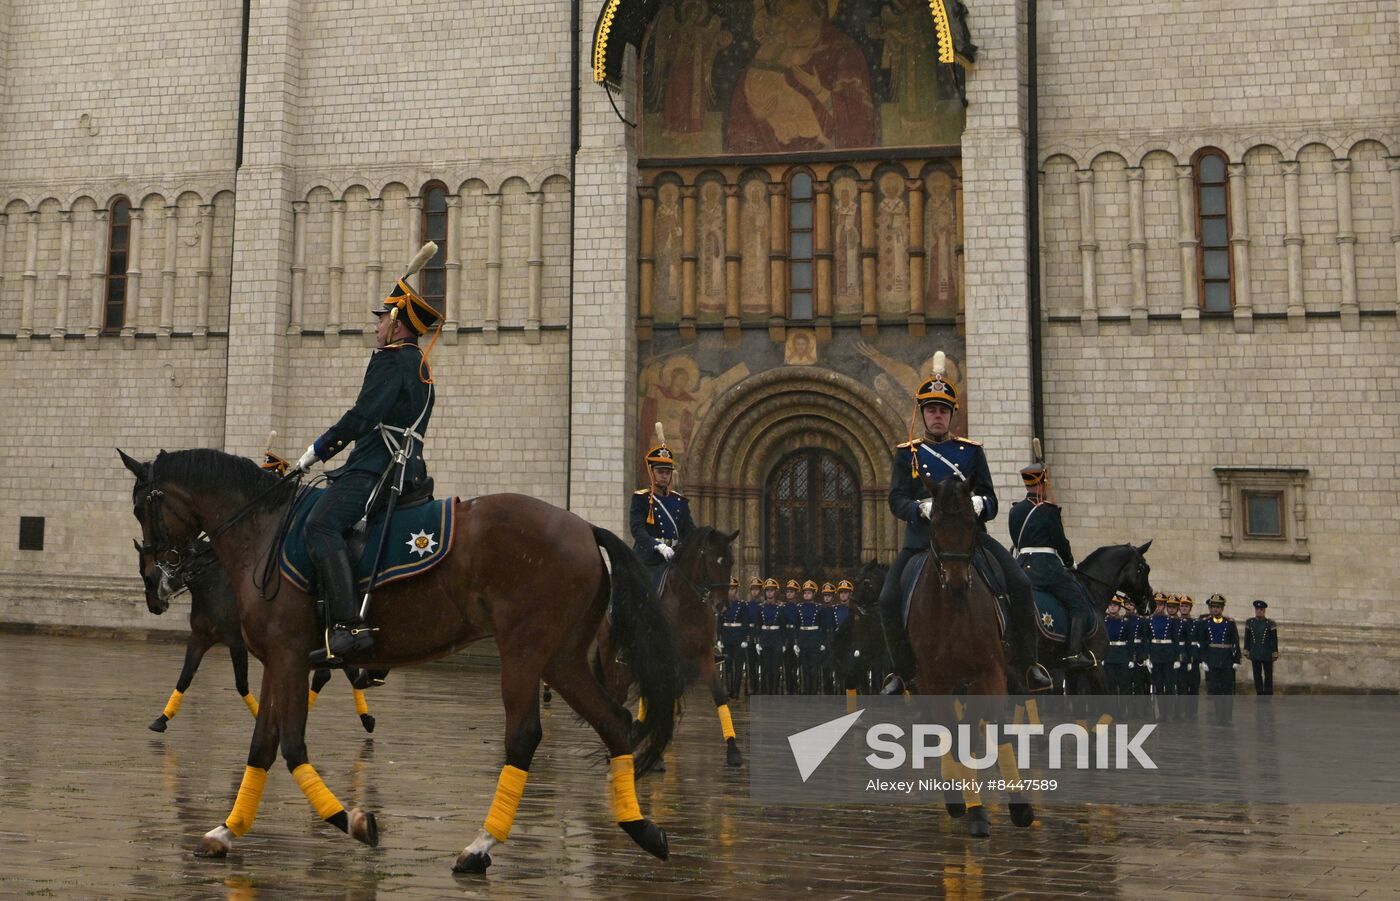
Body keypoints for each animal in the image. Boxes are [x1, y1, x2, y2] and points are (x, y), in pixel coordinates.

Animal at [135, 534, 378, 733]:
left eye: (146, 575)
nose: (155, 606)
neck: (212, 584)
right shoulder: (199, 638)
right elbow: (185, 677)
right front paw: (162, 718)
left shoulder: (236, 643)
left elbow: (241, 683)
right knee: (336, 673)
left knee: (341, 673)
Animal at [593, 528, 744, 766]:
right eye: (711, 561)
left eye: (731, 561)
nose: (721, 605)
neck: (686, 602)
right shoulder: (666, 658)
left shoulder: (704, 655)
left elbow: (718, 695)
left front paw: (733, 749)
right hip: (611, 656)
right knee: (616, 694)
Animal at [907, 478, 1041, 839]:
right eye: (935, 525)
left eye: (971, 523)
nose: (956, 583)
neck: (953, 612)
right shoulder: (934, 679)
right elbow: (954, 736)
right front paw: (971, 808)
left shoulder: (990, 672)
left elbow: (990, 728)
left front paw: (1014, 808)